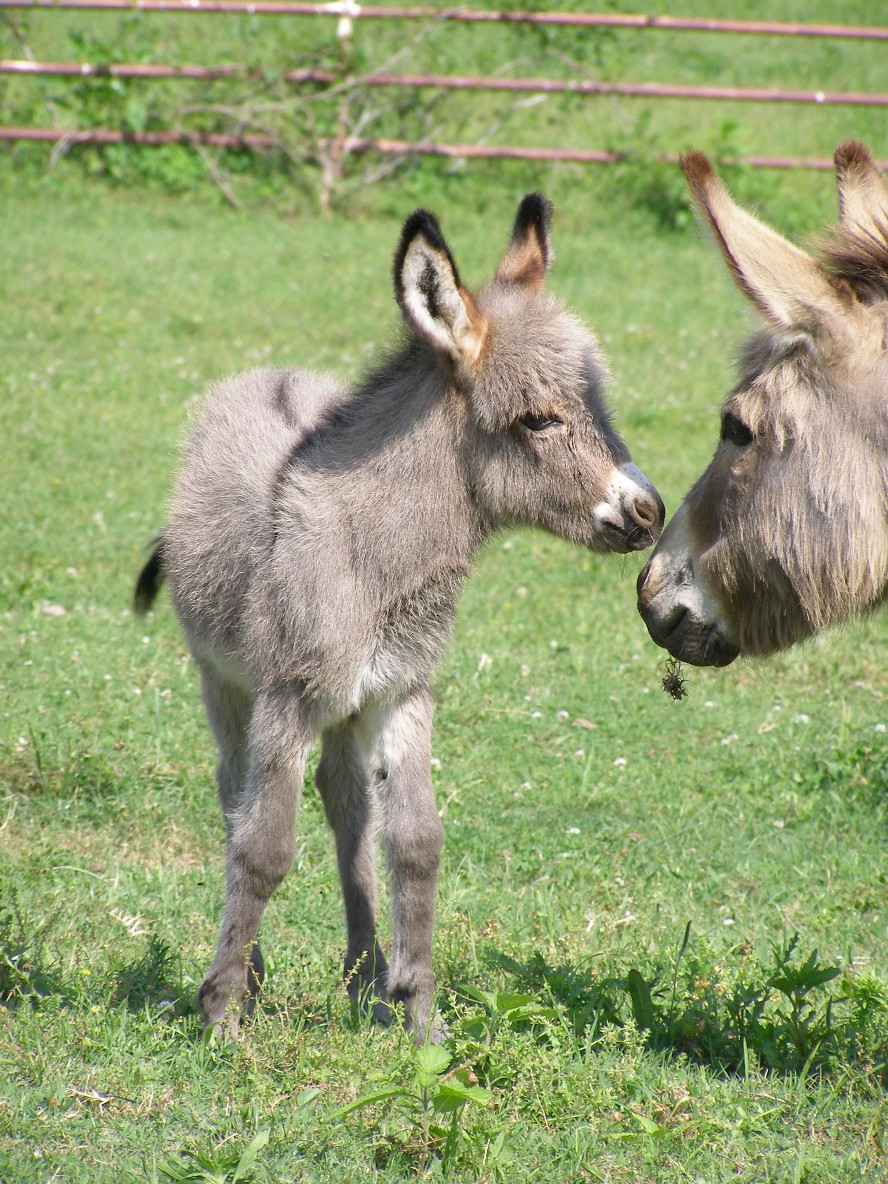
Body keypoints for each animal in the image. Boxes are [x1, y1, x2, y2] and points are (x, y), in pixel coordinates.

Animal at [137, 198, 667, 1041]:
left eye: (599, 405)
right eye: (537, 421)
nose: (650, 513)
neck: (370, 560)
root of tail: (266, 375)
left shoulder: (401, 691)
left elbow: (416, 842)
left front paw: (420, 1018)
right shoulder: (287, 695)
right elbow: (264, 847)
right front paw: (221, 1013)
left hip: (342, 707)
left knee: (347, 804)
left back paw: (363, 976)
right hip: (224, 681)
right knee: (234, 797)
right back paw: (252, 972)